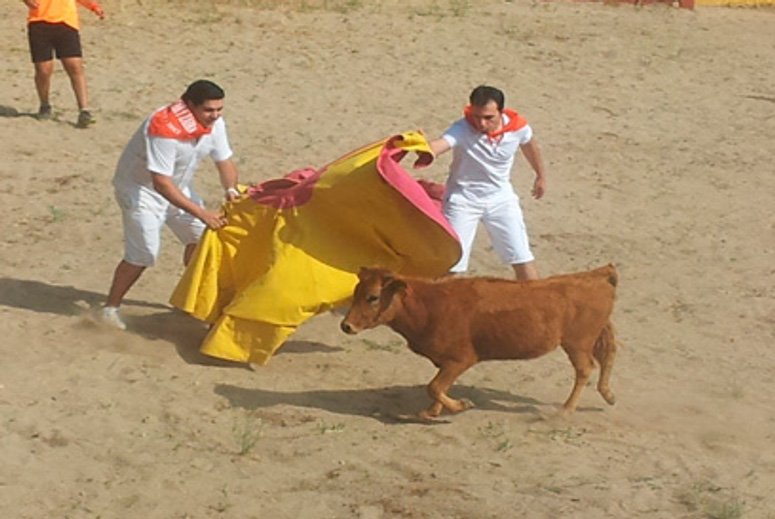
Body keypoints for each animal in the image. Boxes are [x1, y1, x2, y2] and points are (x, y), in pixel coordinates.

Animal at [340, 266, 620, 420]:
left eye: (373, 297)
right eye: (355, 292)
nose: (346, 326)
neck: (429, 305)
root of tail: (599, 275)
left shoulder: (460, 359)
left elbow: (434, 386)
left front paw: (460, 405)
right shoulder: (448, 363)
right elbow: (439, 387)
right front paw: (432, 412)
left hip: (577, 343)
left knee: (584, 369)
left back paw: (565, 411)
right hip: (594, 335)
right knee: (608, 355)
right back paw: (608, 394)